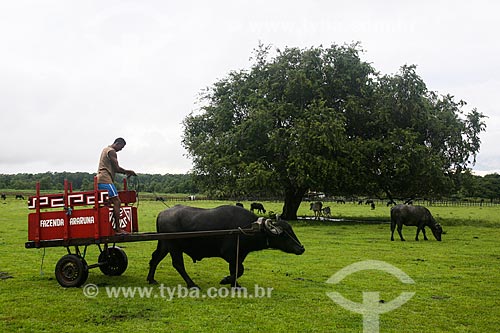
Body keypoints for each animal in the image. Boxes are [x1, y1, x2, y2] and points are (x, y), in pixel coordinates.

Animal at [146, 204, 304, 286]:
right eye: (284, 233)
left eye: (291, 229)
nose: (301, 248)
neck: (249, 228)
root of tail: (162, 213)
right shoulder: (229, 254)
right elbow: (239, 270)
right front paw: (226, 280)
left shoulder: (239, 254)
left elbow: (236, 270)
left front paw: (234, 284)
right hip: (174, 247)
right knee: (178, 264)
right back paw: (192, 284)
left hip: (164, 244)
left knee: (155, 258)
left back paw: (151, 279)